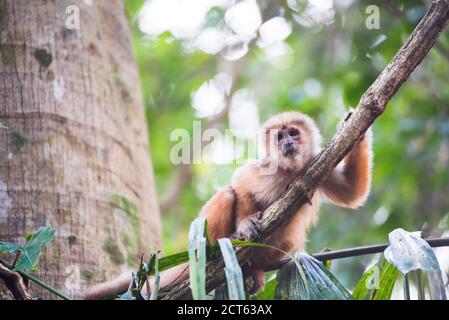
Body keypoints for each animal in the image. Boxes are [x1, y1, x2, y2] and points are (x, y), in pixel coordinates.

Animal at [83, 111, 372, 298]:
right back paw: (220, 252)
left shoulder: (315, 164)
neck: (290, 171)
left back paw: (252, 268)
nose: (288, 142)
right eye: (280, 137)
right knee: (226, 195)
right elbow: (240, 185)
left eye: (293, 133)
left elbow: (351, 193)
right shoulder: (265, 169)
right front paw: (246, 223)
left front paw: (358, 129)